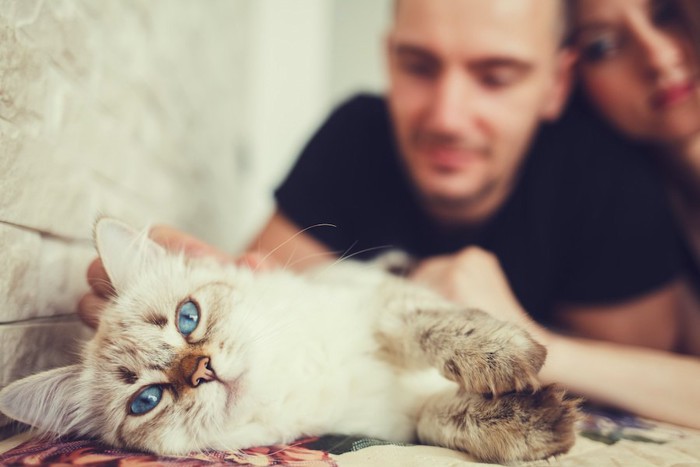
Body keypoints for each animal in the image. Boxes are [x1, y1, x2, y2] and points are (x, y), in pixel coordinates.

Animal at [0, 218, 580, 462]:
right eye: (147, 399)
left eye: (187, 319)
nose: (202, 370)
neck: (296, 376)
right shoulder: (395, 420)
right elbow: (437, 419)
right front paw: (532, 421)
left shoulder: (378, 302)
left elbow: (437, 331)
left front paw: (507, 360)